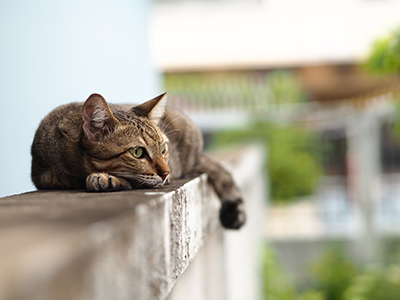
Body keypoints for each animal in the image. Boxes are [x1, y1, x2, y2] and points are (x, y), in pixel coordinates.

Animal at [30, 92, 244, 229]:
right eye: (137, 152)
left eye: (163, 149)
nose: (167, 172)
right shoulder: (41, 171)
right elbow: (54, 176)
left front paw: (106, 179)